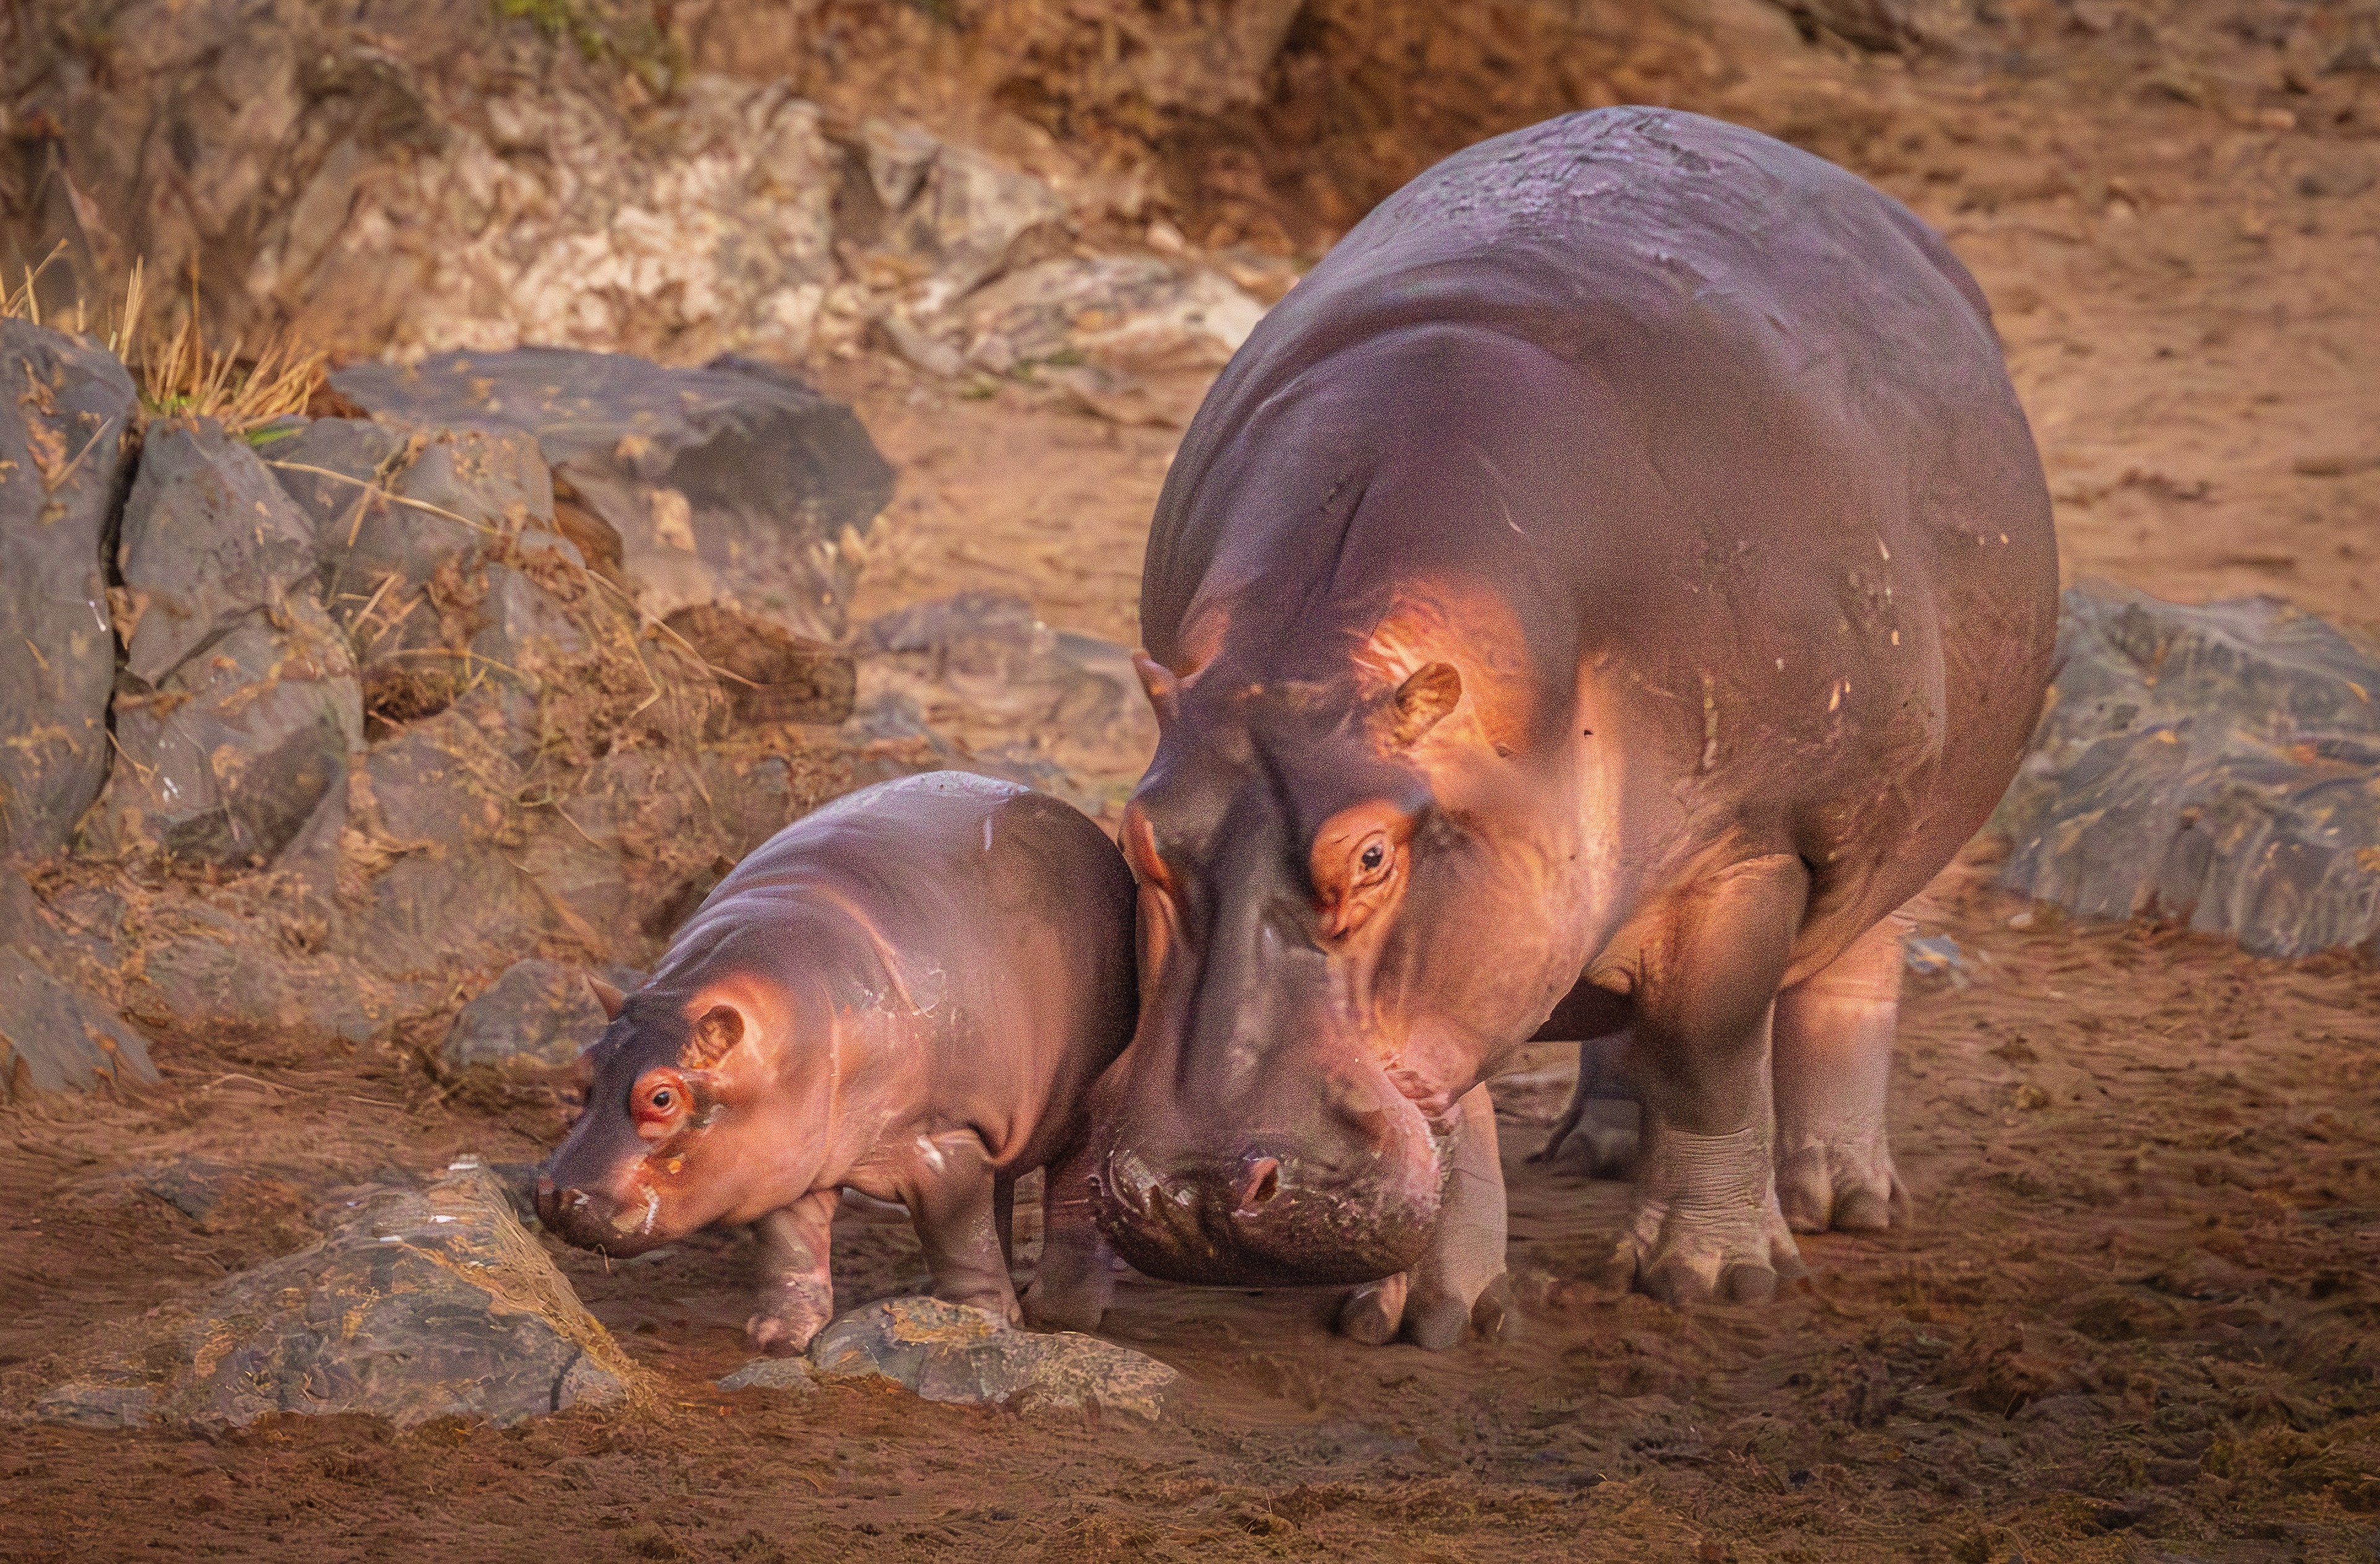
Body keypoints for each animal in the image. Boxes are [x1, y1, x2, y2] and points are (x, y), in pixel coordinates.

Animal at [539, 771, 1137, 1354]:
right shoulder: (781, 1154)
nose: (553, 1192)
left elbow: (960, 1238)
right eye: (585, 1071)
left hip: (1078, 1117)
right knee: (1003, 1196)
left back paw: (1062, 1314)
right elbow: (790, 1249)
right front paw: (777, 1338)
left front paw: (979, 1320)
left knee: (1073, 1200)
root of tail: (1082, 825)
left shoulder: (946, 1139)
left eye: (661, 1097)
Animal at [1089, 107, 2059, 1345]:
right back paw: (1598, 1147)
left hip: (1893, 813)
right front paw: (1425, 1320)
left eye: (1372, 853)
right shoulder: (1488, 917)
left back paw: (1837, 1199)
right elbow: (1458, 1109)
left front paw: (1716, 1278)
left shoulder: (1751, 845)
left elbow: (1706, 1057)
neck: (1312, 648)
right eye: (1138, 837)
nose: (1199, 1194)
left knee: (1858, 962)